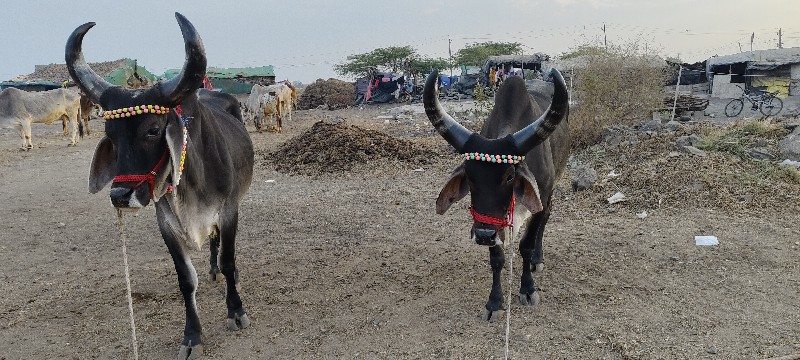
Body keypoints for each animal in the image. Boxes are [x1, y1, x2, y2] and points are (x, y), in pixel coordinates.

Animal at [66, 11, 255, 360]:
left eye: (153, 130)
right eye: (110, 133)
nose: (120, 195)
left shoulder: (229, 209)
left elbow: (228, 259)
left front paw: (236, 311)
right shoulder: (165, 221)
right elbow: (186, 279)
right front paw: (192, 336)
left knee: (220, 248)